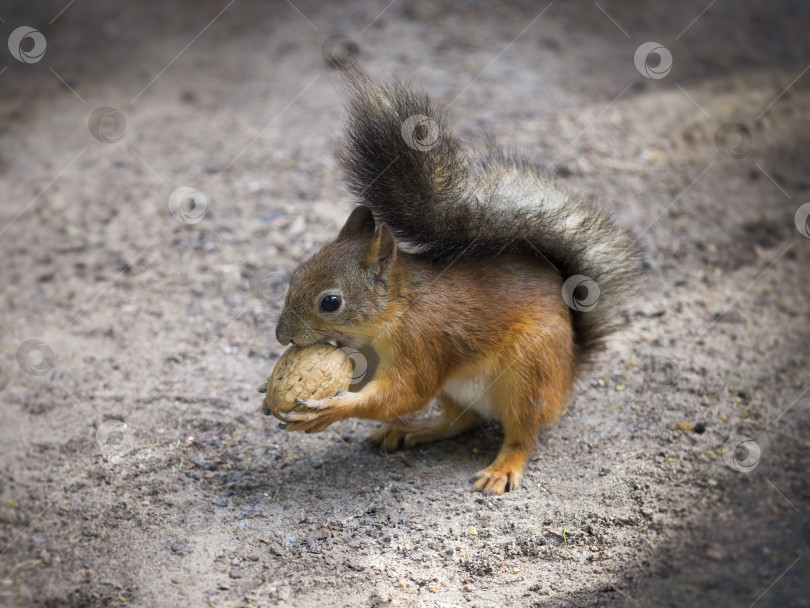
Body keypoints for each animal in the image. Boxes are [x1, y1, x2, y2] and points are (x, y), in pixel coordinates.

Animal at [272, 65, 636, 494]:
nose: (281, 336)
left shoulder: (422, 342)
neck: (394, 312)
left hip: (529, 370)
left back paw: (502, 467)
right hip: (459, 391)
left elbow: (404, 393)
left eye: (330, 302)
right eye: (297, 272)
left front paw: (331, 409)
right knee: (462, 421)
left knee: (523, 432)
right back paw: (413, 430)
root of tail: (569, 373)